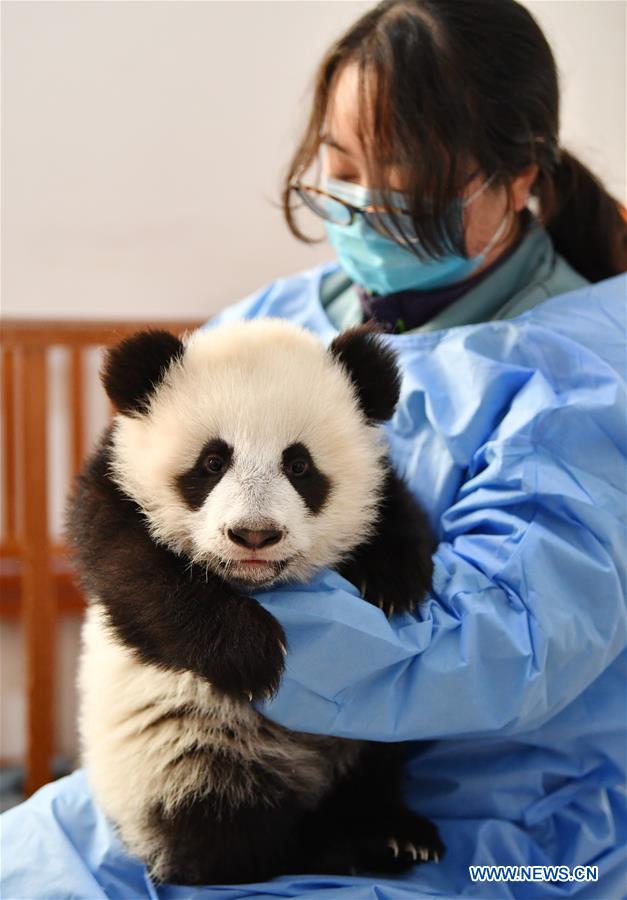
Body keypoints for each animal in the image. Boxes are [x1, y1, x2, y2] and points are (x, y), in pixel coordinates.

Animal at [68, 318, 444, 886]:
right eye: (212, 461)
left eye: (300, 465)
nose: (254, 535)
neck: (253, 584)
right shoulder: (114, 491)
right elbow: (133, 571)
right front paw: (248, 655)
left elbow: (393, 505)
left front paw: (393, 581)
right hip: (181, 758)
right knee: (227, 837)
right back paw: (326, 850)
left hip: (373, 725)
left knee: (376, 769)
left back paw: (393, 835)